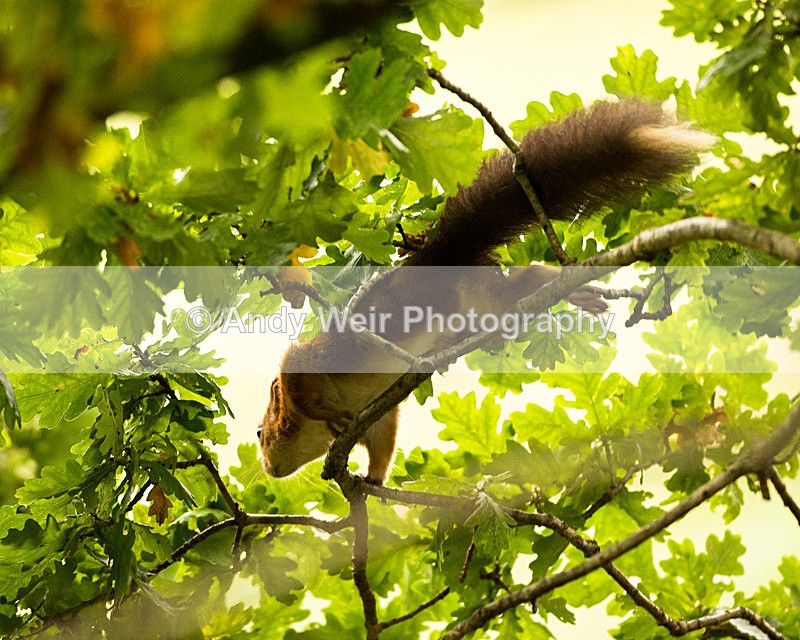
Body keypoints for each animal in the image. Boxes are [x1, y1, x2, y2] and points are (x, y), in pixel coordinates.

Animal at [258, 100, 713, 484]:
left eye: (263, 432)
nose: (267, 469)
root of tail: (447, 253)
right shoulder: (378, 418)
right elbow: (385, 442)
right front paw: (373, 480)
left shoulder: (305, 363)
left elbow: (303, 386)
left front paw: (328, 412)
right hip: (482, 301)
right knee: (521, 285)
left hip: (477, 294)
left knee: (527, 278)